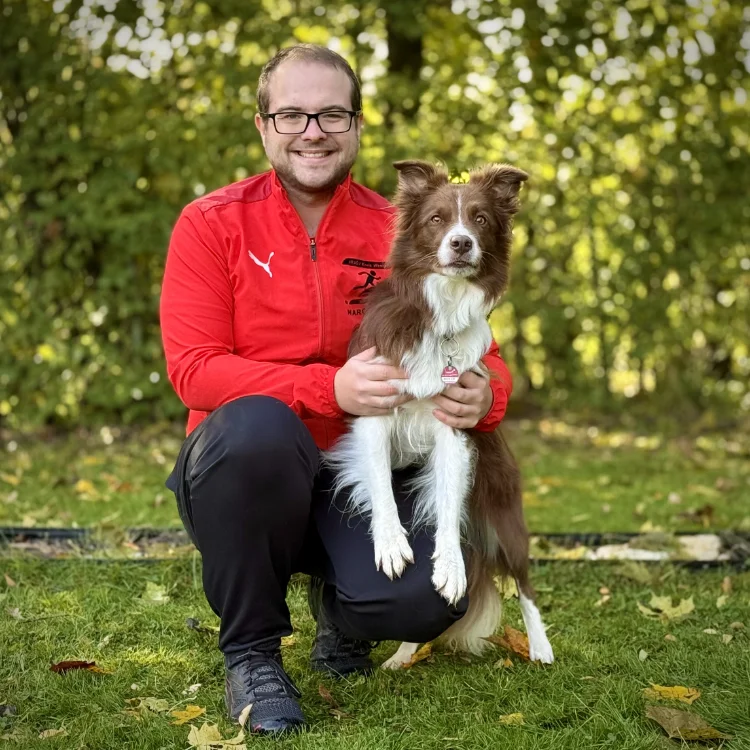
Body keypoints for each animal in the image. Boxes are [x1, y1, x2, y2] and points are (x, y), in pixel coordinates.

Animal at [326, 162, 556, 668]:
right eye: (436, 219)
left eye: (480, 219)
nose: (461, 243)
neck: (441, 310)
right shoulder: (373, 410)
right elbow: (381, 487)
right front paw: (391, 543)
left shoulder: (455, 429)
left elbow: (450, 507)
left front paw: (450, 567)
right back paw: (402, 655)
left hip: (505, 513)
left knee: (525, 583)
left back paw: (541, 647)